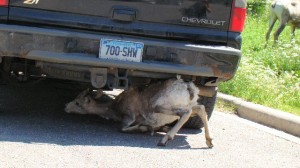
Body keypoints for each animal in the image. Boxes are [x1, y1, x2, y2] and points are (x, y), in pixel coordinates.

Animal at [65, 79, 213, 147]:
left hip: (160, 106)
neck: (114, 108)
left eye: (78, 103)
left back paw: (164, 139)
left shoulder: (129, 117)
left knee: (186, 113)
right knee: (200, 108)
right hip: (189, 104)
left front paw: (146, 128)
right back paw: (209, 142)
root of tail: (189, 88)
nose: (66, 107)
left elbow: (123, 128)